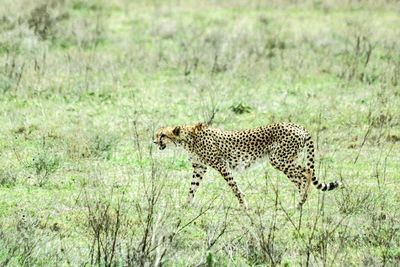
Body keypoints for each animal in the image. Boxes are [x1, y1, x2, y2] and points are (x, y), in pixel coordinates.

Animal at [153, 123, 340, 209]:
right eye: (157, 134)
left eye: (162, 135)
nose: (154, 142)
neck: (187, 139)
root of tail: (297, 125)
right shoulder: (200, 168)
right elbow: (192, 188)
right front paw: (186, 204)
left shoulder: (221, 165)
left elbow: (234, 187)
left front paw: (244, 205)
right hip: (284, 160)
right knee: (300, 178)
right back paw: (300, 203)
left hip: (279, 159)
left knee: (306, 172)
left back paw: (300, 202)